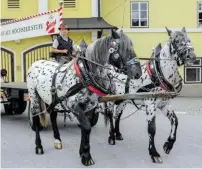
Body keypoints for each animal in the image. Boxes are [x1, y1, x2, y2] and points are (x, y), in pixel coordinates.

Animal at [26, 29, 142, 166]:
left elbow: (85, 128)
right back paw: (39, 146)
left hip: (52, 99)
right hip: (34, 97)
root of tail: (36, 62)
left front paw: (82, 152)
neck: (84, 75)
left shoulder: (89, 108)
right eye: (125, 48)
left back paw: (57, 140)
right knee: (36, 118)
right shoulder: (74, 106)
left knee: (53, 116)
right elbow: (86, 127)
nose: (138, 73)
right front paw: (86, 156)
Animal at [102, 27, 196, 164]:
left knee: (117, 115)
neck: (159, 74)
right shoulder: (150, 104)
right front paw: (154, 153)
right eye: (176, 41)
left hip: (122, 101)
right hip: (110, 99)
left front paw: (168, 144)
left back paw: (117, 134)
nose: (192, 56)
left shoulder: (164, 104)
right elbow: (152, 129)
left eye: (188, 39)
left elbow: (175, 121)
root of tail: (111, 69)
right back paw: (111, 137)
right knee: (110, 115)